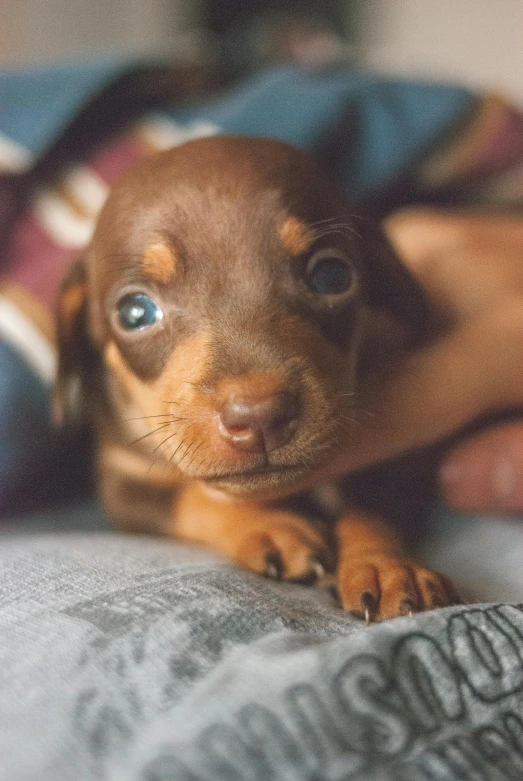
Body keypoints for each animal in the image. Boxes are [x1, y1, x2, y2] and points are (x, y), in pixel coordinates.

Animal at [55, 136, 460, 620]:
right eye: (135, 313)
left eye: (332, 276)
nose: (259, 416)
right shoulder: (124, 480)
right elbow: (193, 497)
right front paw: (268, 526)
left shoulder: (392, 460)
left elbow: (373, 507)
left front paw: (386, 564)